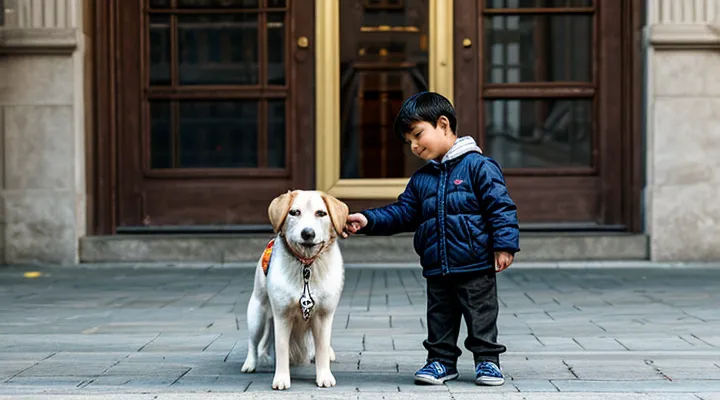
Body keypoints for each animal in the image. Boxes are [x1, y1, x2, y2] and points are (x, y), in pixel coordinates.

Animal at [240, 189, 350, 390]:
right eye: (294, 212)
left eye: (321, 213)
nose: (308, 233)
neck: (306, 264)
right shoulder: (282, 315)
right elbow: (281, 349)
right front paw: (282, 379)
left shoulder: (323, 314)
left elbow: (322, 347)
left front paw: (324, 375)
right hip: (257, 312)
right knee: (253, 342)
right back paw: (250, 364)